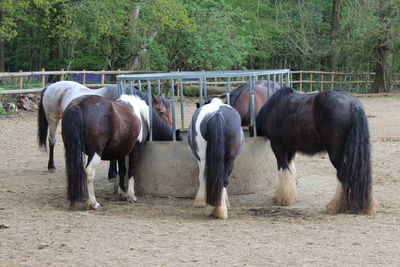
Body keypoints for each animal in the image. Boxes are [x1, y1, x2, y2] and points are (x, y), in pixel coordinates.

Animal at [37, 80, 173, 178]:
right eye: (161, 112)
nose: (171, 129)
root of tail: (50, 87)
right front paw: (112, 173)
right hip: (53, 119)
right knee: (52, 140)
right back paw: (51, 166)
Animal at [256, 88, 378, 216]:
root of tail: (353, 104)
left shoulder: (278, 147)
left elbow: (283, 169)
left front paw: (282, 198)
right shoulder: (290, 149)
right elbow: (290, 169)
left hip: (336, 155)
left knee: (342, 176)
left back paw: (335, 206)